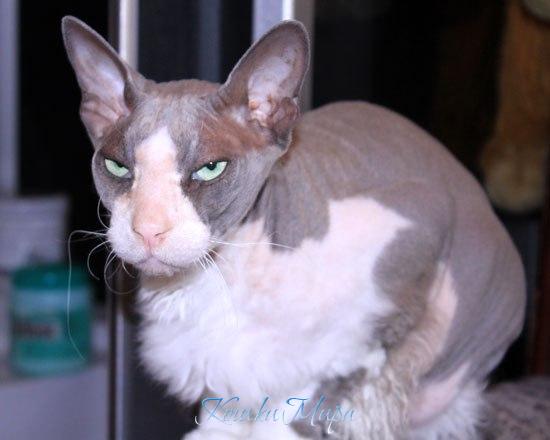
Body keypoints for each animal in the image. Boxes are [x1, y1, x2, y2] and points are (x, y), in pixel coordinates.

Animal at [62, 16, 525, 439]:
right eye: (117, 167)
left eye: (210, 169)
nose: (148, 230)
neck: (221, 277)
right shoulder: (217, 367)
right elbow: (223, 414)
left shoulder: (412, 241)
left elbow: (308, 394)